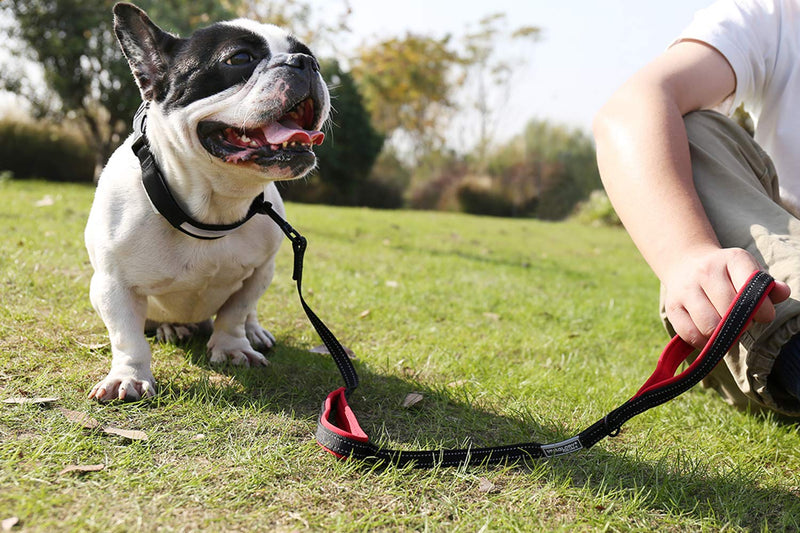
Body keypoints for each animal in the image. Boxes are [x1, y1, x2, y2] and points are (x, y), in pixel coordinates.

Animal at [83, 1, 328, 400]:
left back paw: (253, 332)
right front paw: (129, 375)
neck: (214, 207)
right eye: (239, 58)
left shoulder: (260, 271)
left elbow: (236, 311)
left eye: (311, 56)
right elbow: (127, 335)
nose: (305, 63)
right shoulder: (112, 284)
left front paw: (232, 348)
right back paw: (172, 328)